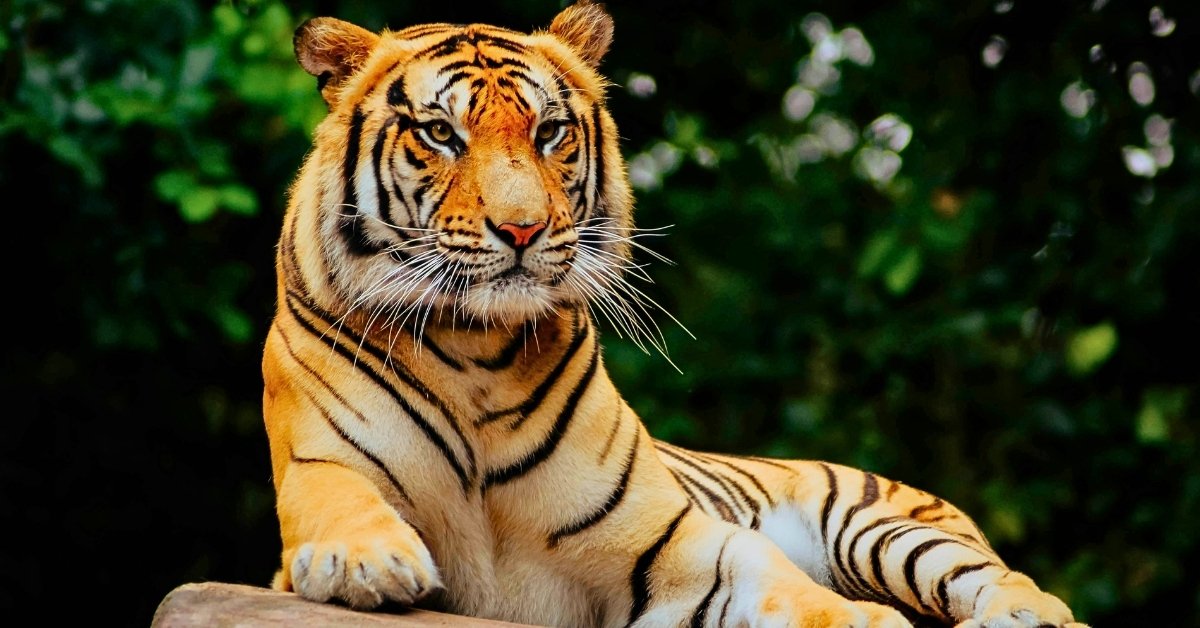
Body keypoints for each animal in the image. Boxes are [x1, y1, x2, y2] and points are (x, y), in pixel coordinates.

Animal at [260, 2, 1087, 626]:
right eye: (441, 132)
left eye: (549, 132)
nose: (523, 229)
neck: (476, 353)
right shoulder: (318, 462)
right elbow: (338, 498)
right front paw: (366, 559)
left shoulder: (668, 538)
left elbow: (768, 572)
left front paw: (860, 618)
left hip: (881, 528)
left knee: (1015, 586)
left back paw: (1020, 614)